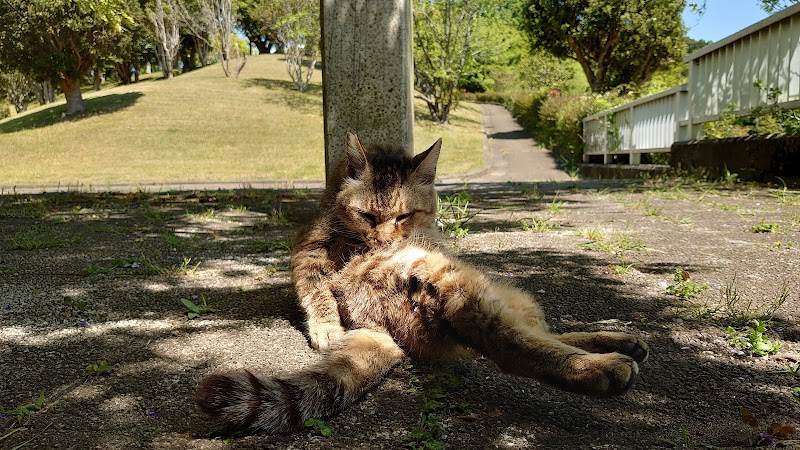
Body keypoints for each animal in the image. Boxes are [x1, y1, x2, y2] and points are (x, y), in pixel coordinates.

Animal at [195, 133, 648, 432]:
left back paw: (619, 341)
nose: (384, 241)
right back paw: (600, 365)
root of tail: (384, 329)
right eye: (368, 215)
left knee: (544, 332)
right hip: (468, 291)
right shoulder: (309, 250)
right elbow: (314, 290)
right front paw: (325, 325)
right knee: (514, 344)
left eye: (403, 215)